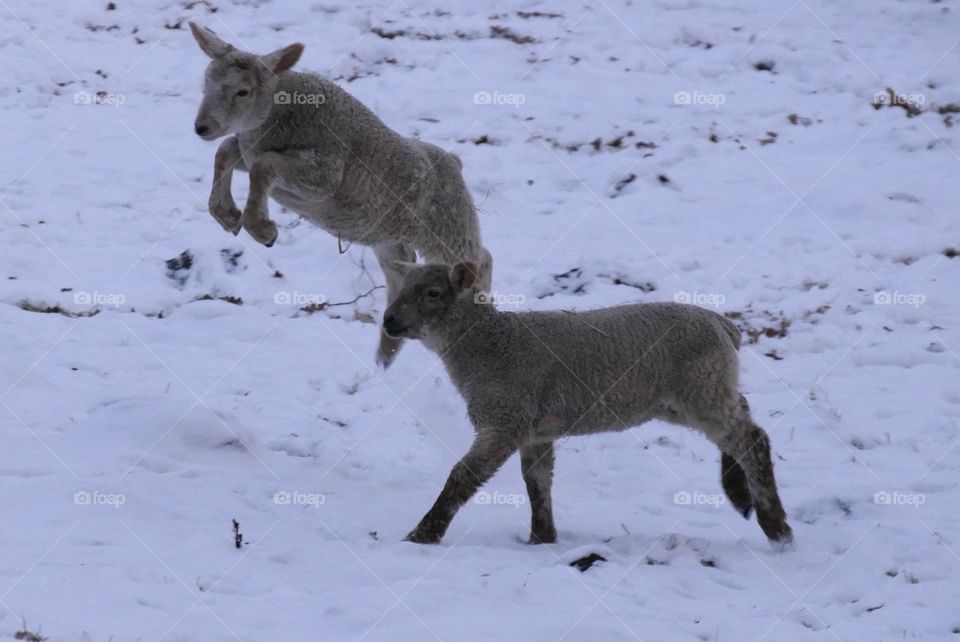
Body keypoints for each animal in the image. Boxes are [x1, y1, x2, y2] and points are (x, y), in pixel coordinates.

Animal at [187, 23, 492, 364]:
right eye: (206, 82)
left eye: (243, 91)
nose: (202, 127)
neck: (276, 116)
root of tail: (453, 160)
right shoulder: (250, 150)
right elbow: (225, 152)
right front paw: (227, 215)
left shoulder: (324, 174)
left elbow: (262, 168)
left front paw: (263, 230)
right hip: (388, 237)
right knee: (402, 270)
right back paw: (386, 350)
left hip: (447, 228)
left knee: (481, 260)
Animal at [382, 258, 796, 548]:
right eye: (402, 287)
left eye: (433, 293)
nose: (388, 321)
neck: (488, 342)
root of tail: (724, 325)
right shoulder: (534, 430)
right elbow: (537, 483)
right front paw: (542, 538)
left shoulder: (504, 422)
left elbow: (461, 477)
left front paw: (422, 536)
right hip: (695, 396)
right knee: (742, 419)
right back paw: (740, 494)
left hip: (701, 390)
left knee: (752, 440)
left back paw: (777, 529)